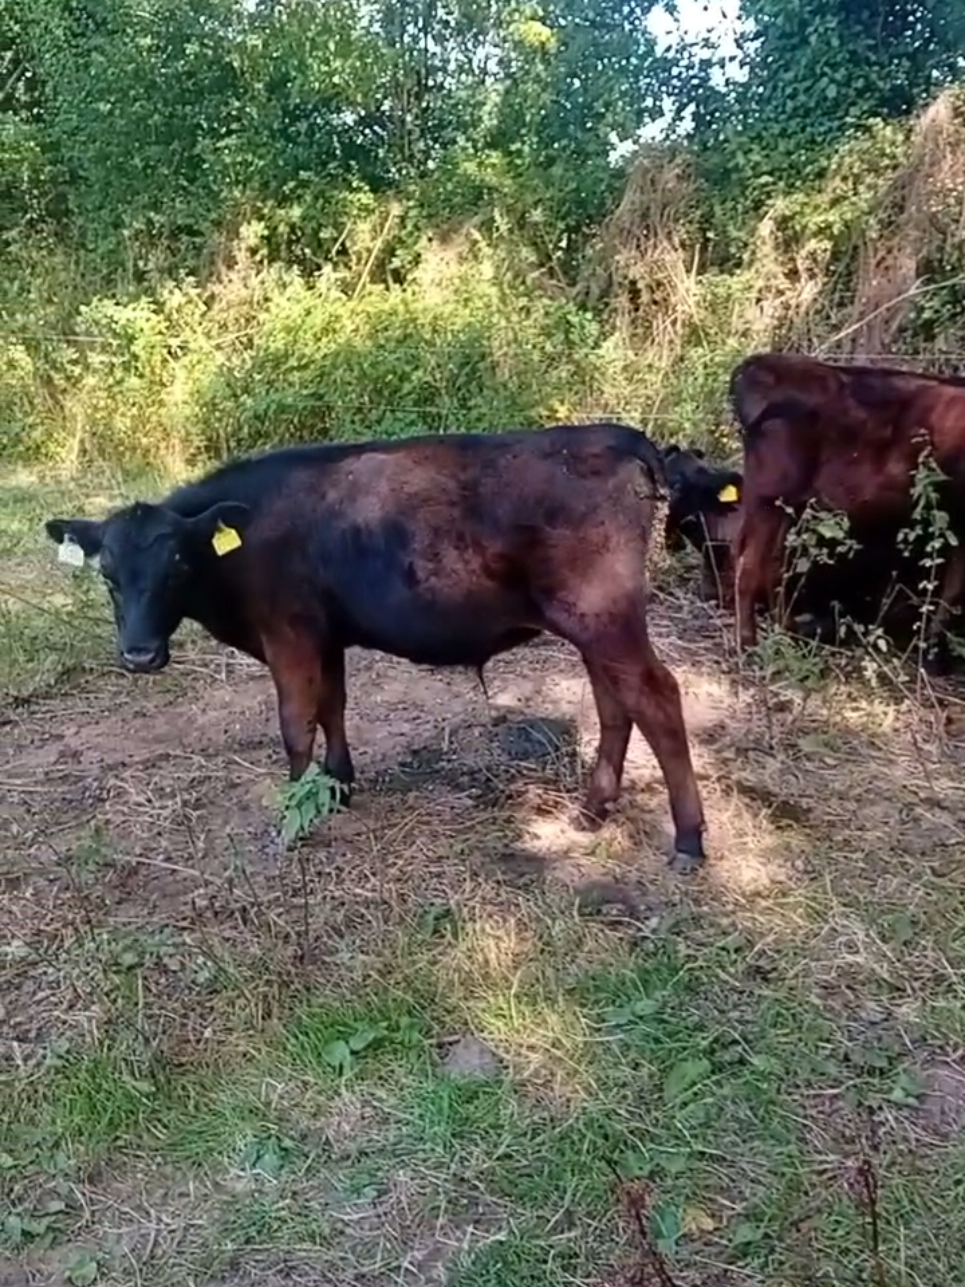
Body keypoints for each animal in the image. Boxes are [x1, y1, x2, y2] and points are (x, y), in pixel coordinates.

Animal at [45, 423, 709, 873]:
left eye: (177, 565)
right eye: (108, 573)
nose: (138, 655)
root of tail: (611, 435)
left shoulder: (288, 635)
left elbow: (295, 723)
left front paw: (294, 815)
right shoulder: (325, 636)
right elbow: (332, 707)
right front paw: (338, 786)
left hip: (604, 616)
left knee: (657, 698)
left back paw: (688, 839)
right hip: (593, 625)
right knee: (614, 701)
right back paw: (594, 809)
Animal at [728, 353, 965, 667]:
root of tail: (760, 363)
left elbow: (953, 589)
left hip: (783, 504)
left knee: (771, 562)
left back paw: (786, 632)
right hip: (769, 495)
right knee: (750, 564)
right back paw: (747, 646)